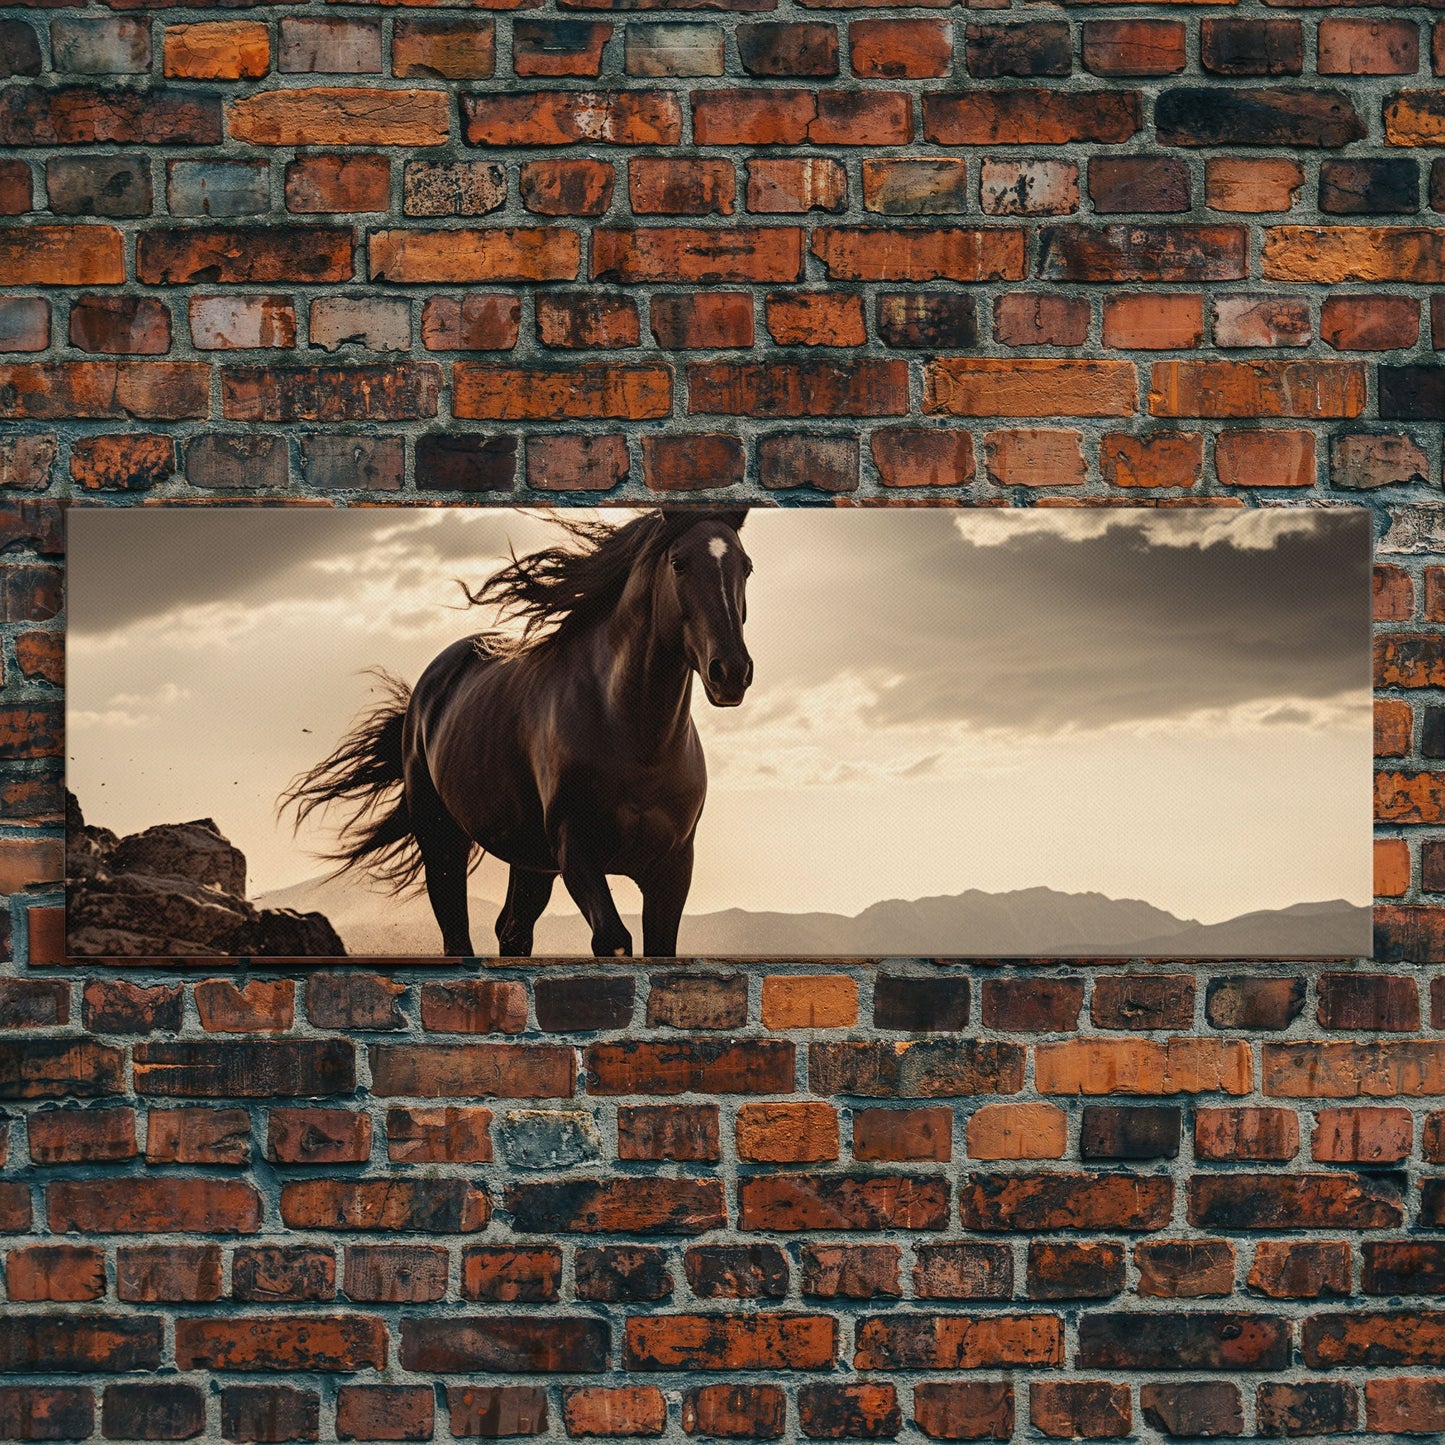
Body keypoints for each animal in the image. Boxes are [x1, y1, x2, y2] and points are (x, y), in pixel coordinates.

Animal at [281, 508, 753, 958]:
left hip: (531, 863)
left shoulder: (672, 868)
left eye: (745, 566)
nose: (730, 672)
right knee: (459, 935)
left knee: (512, 931)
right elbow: (614, 939)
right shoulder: (576, 851)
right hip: (443, 842)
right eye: (678, 562)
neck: (635, 740)